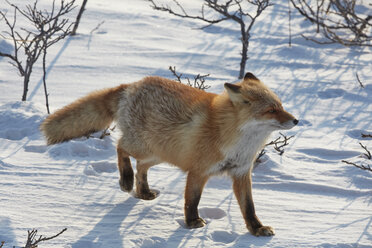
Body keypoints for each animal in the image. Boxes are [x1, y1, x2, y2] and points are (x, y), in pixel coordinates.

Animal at [40, 72, 298, 236]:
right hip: (144, 146)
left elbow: (249, 207)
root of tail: (133, 84)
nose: (296, 120)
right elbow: (192, 200)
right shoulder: (198, 171)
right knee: (121, 148)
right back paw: (125, 180)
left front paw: (256, 229)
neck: (238, 140)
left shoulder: (242, 173)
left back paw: (143, 192)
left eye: (281, 106)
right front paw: (192, 222)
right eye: (271, 110)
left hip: (160, 153)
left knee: (141, 167)